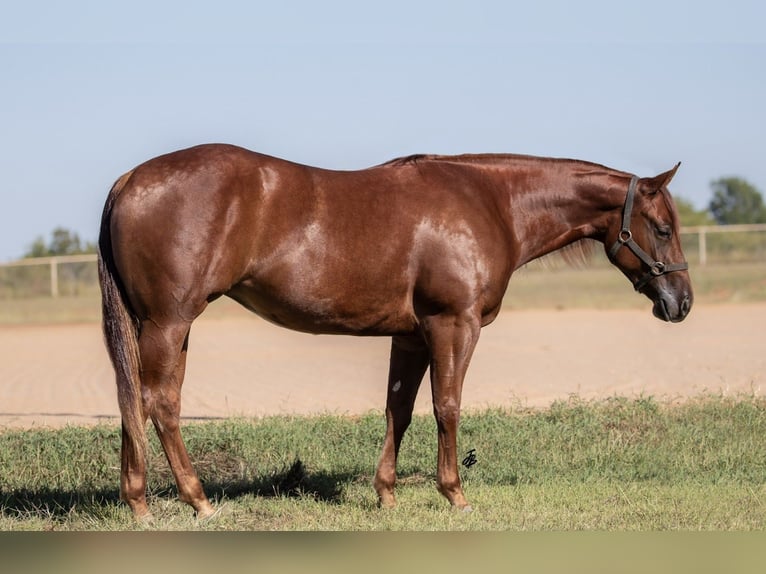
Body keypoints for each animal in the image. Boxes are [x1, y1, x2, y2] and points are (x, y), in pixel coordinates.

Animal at [98, 144, 692, 520]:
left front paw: (386, 494)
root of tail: (130, 180)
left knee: (138, 400)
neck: (490, 203)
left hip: (163, 327)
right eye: (663, 229)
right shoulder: (454, 324)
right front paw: (455, 495)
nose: (681, 303)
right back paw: (196, 500)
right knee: (160, 403)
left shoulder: (410, 335)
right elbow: (447, 406)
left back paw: (139, 501)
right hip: (170, 322)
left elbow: (398, 409)